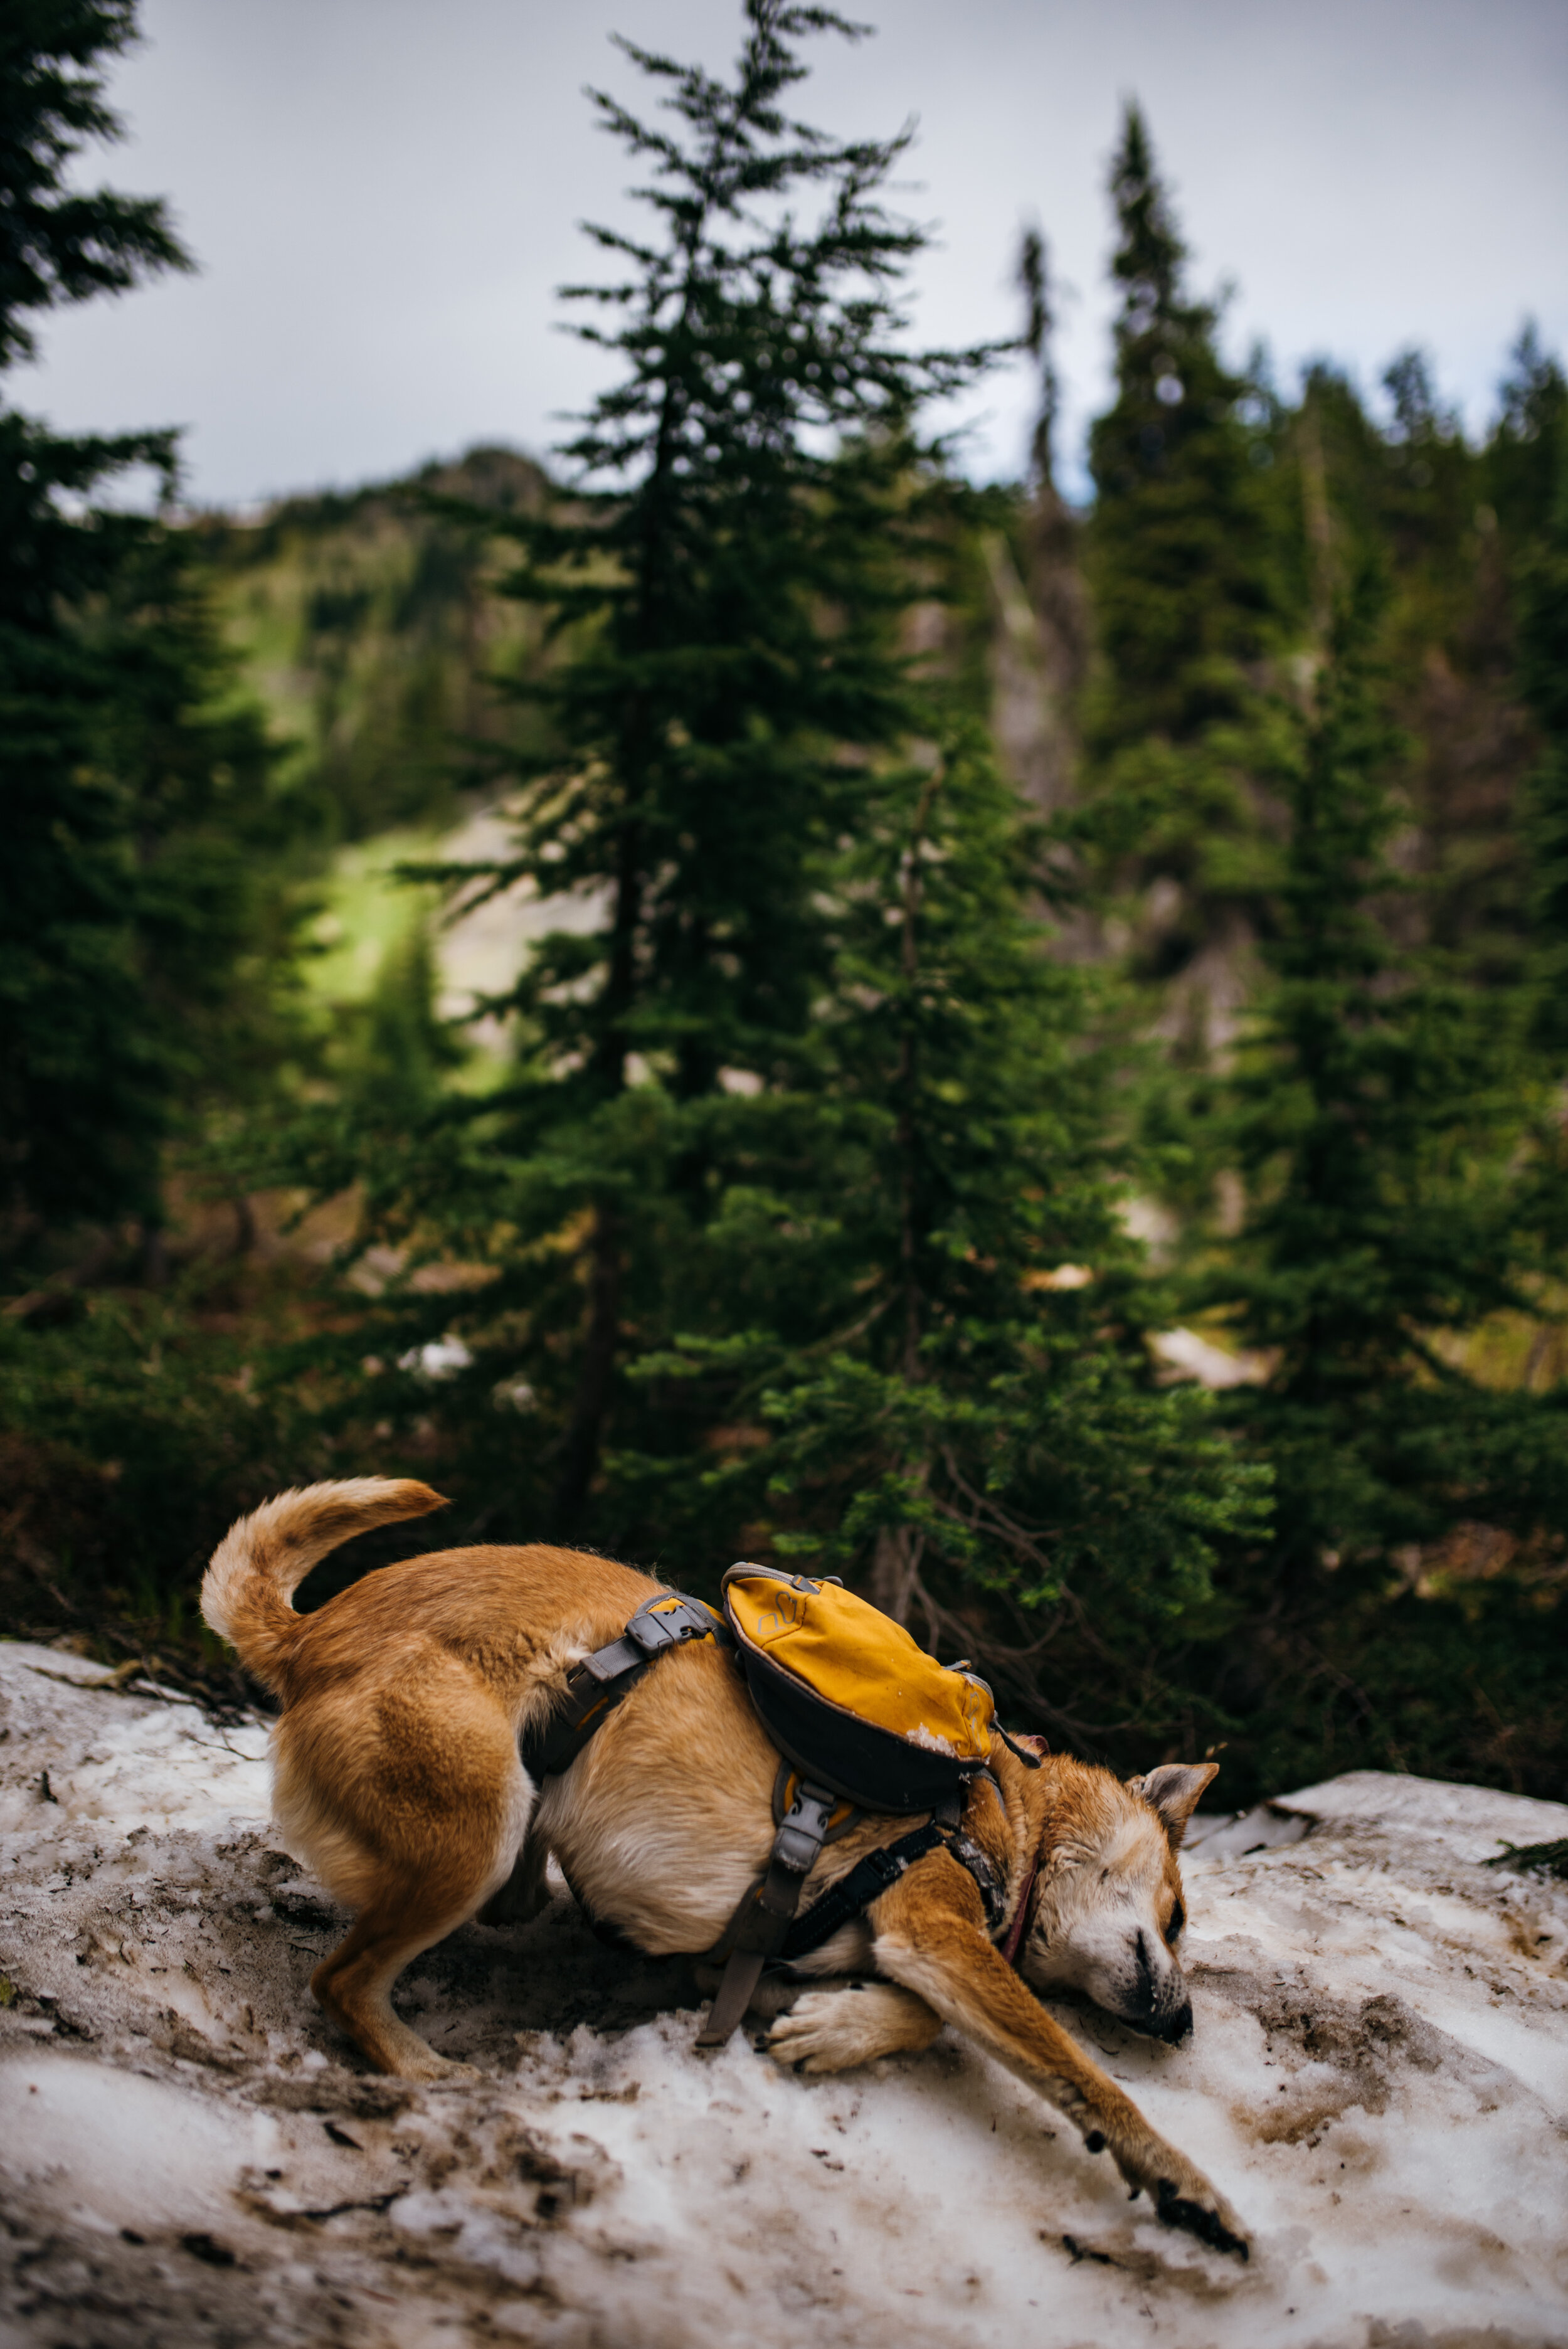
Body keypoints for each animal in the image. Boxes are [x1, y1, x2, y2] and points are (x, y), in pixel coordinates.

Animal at [201, 1475, 1249, 2264]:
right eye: (1180, 1915)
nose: (1186, 2027)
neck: (1006, 1817)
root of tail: (312, 1635)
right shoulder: (937, 1928)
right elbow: (1081, 2075)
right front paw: (1189, 2187)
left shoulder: (793, 1954)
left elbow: (918, 2014)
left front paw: (839, 2025)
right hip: (473, 1832)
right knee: (342, 1982)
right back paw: (423, 2067)